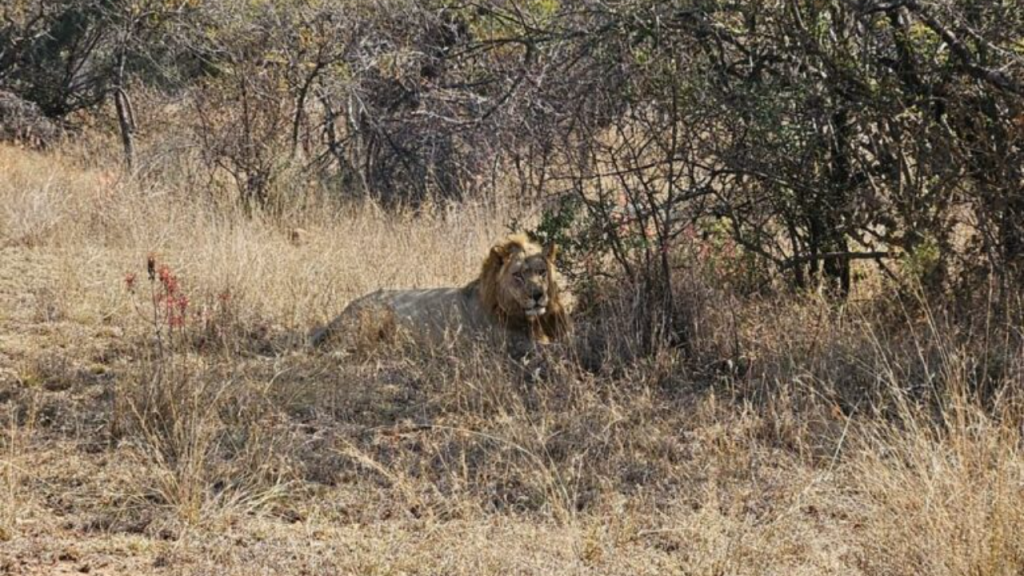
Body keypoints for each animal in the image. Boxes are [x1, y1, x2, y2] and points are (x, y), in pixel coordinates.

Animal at [307, 231, 573, 350]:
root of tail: (341, 314)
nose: (537, 295)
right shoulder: (508, 343)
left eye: (541, 272)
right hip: (370, 317)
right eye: (517, 275)